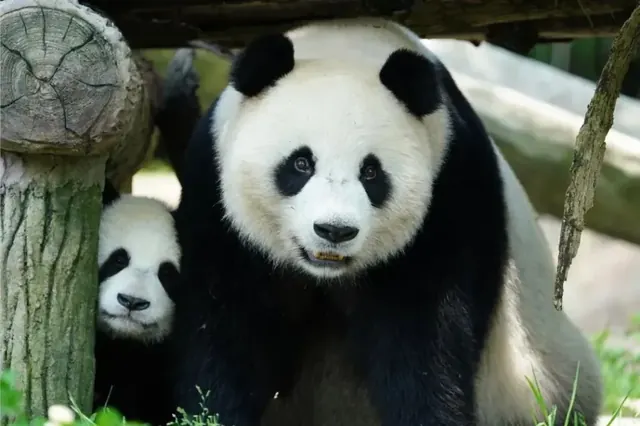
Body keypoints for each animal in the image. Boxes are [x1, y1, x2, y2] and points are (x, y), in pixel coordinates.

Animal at [171, 18, 603, 426]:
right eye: (301, 163)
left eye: (371, 173)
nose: (334, 231)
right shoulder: (212, 190)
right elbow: (226, 325)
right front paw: (210, 414)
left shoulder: (450, 189)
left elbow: (424, 337)